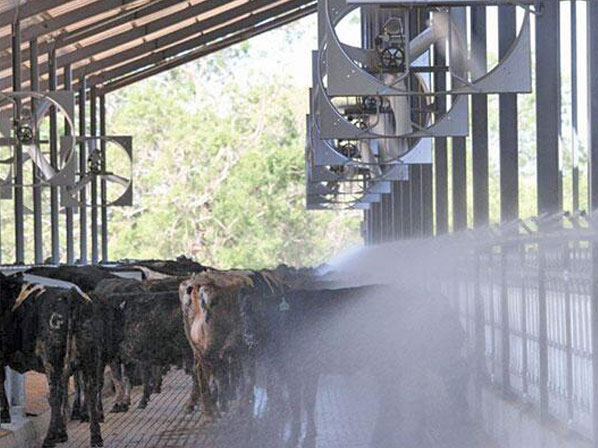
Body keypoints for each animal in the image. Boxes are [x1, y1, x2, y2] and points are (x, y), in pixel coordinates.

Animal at [0, 272, 103, 448]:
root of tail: (71, 294)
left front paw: (4, 415)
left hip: (52, 359)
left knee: (55, 394)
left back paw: (50, 438)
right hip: (89, 358)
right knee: (89, 390)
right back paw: (94, 438)